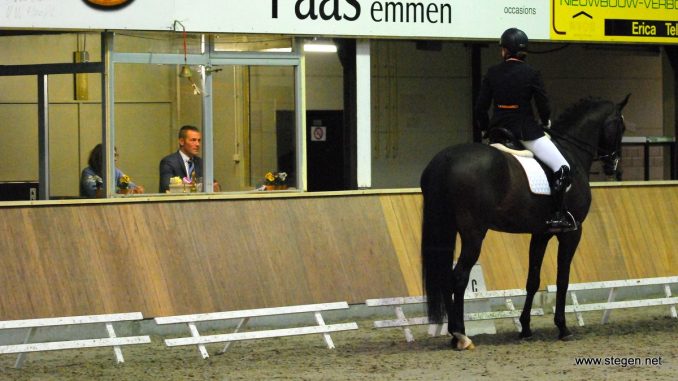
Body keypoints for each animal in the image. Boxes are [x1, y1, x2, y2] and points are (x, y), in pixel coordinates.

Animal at [422, 94, 628, 348]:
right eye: (620, 126)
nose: (613, 166)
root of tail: (446, 159)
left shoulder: (540, 233)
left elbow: (533, 279)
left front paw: (526, 328)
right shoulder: (572, 232)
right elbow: (562, 279)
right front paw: (563, 327)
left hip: (448, 228)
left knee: (445, 277)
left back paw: (454, 335)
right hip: (474, 233)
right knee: (459, 277)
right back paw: (461, 335)